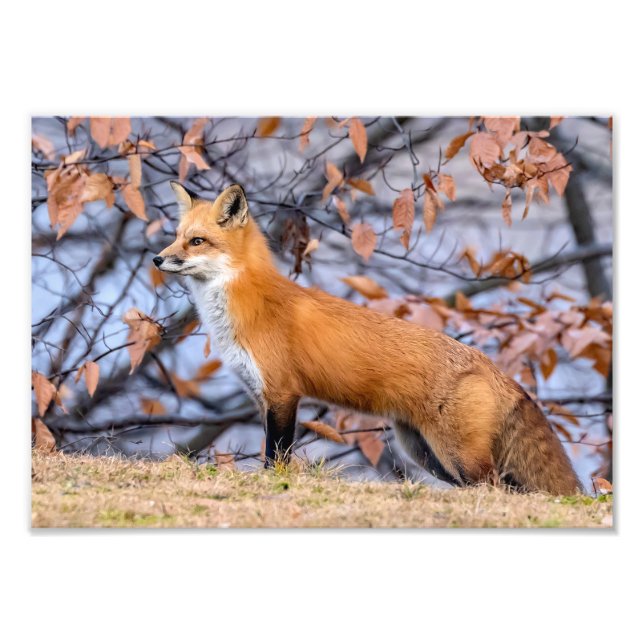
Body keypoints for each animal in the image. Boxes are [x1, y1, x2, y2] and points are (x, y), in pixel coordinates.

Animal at [153, 181, 581, 495]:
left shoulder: (283, 394)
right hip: (426, 453)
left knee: (494, 489)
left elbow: (277, 457)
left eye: (196, 241)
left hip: (458, 454)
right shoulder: (262, 396)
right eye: (175, 236)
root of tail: (494, 367)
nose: (157, 259)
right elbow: (273, 451)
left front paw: (274, 486)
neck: (247, 302)